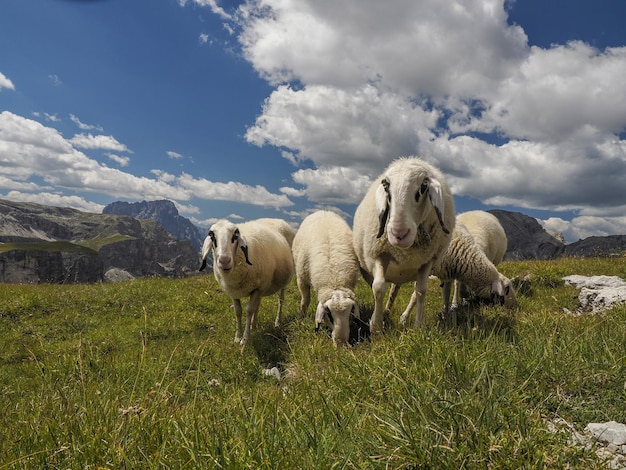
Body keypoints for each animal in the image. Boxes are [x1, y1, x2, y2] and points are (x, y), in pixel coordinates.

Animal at [290, 211, 358, 346]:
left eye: (350, 312)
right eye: (328, 313)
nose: (341, 343)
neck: (334, 279)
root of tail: (323, 211)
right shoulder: (301, 279)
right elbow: (305, 301)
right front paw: (301, 318)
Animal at [352, 156, 454, 332]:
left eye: (423, 187)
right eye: (386, 187)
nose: (399, 234)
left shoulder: (428, 261)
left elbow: (421, 291)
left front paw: (418, 326)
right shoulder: (378, 255)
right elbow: (378, 288)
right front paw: (376, 326)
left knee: (403, 291)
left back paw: (398, 316)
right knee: (384, 288)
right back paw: (384, 314)